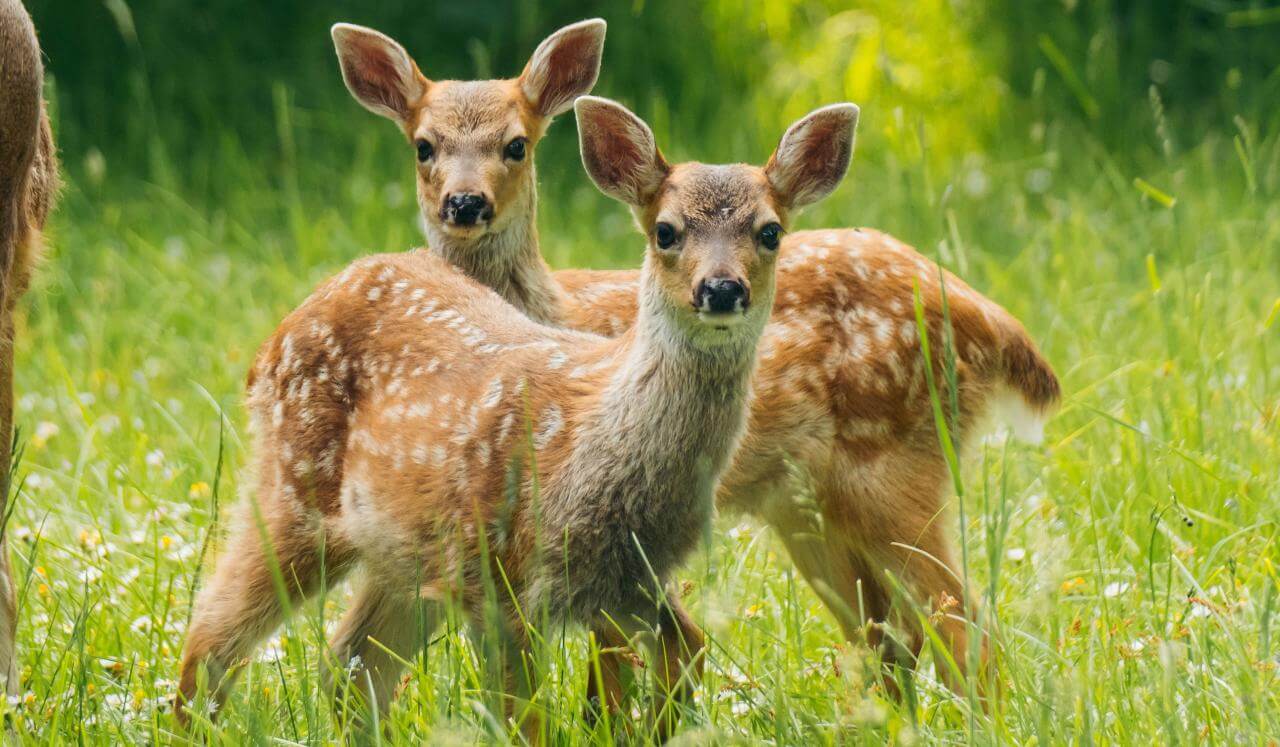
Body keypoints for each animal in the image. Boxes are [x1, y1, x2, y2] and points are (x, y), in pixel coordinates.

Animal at [176, 93, 858, 739]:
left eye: (770, 232)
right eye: (665, 231)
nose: (721, 289)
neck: (594, 446)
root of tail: (273, 342)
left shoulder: (628, 577)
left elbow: (683, 653)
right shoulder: (500, 578)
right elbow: (523, 719)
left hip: (402, 552)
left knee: (349, 661)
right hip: (296, 491)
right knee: (212, 632)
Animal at [332, 19, 1061, 706]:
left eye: (517, 144)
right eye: (423, 145)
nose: (464, 204)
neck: (548, 310)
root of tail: (989, 320)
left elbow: (628, 664)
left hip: (896, 471)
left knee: (964, 628)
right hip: (808, 507)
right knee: (891, 633)